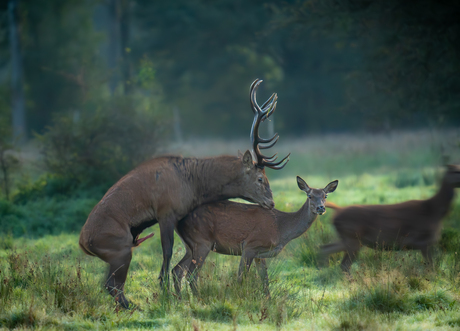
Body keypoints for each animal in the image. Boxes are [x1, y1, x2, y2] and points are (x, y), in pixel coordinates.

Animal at [77, 78, 290, 308]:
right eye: (260, 178)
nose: (271, 202)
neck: (194, 185)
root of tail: (83, 243)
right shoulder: (166, 211)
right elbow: (167, 252)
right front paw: (164, 293)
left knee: (111, 285)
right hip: (120, 246)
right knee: (112, 284)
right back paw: (135, 305)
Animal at [172, 178, 338, 296]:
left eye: (325, 195)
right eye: (310, 196)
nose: (321, 207)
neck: (281, 228)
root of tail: (178, 220)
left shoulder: (261, 253)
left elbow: (265, 280)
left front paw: (268, 302)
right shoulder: (251, 245)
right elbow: (241, 276)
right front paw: (240, 298)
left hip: (190, 245)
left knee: (177, 271)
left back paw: (180, 300)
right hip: (202, 241)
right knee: (191, 274)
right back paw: (198, 299)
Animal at [320, 165, 460, 272]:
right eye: (455, 171)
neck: (434, 211)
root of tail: (338, 211)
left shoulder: (424, 243)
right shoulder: (421, 241)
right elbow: (431, 266)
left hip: (349, 239)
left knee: (325, 248)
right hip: (352, 238)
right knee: (344, 264)